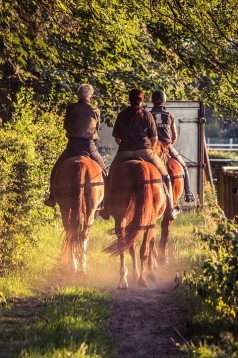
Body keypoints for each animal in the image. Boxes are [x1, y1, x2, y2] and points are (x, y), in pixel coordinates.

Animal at [103, 159, 167, 288]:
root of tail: (140, 165)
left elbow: (132, 248)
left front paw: (137, 274)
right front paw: (149, 271)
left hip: (121, 219)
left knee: (123, 245)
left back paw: (123, 280)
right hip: (147, 223)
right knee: (143, 249)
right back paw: (142, 279)